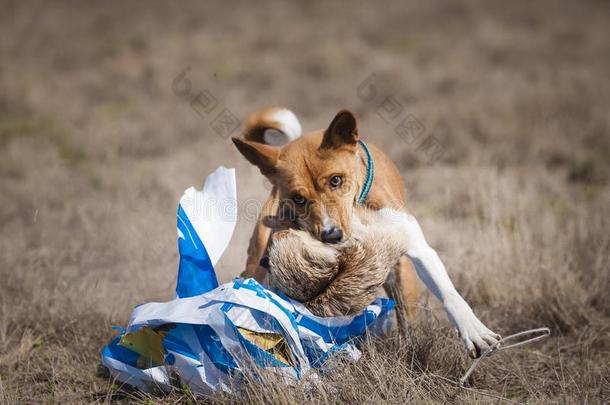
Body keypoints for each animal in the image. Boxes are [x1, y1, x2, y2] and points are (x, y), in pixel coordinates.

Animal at [233, 107, 498, 356]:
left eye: (336, 180)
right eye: (298, 198)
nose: (331, 235)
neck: (357, 210)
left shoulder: (417, 246)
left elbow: (448, 293)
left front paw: (474, 331)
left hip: (401, 274)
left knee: (407, 317)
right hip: (258, 257)